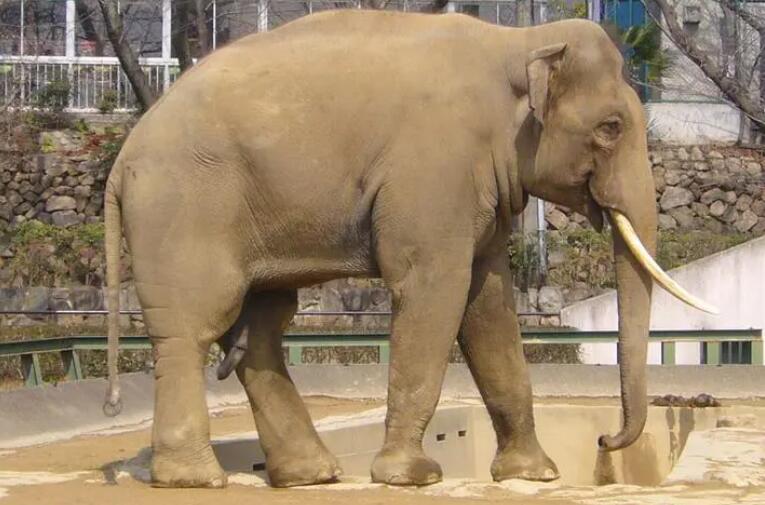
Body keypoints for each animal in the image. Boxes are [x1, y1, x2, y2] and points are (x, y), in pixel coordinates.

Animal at [102, 10, 715, 489]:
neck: (516, 41)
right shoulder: (434, 171)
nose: (606, 440)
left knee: (262, 329)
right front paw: (411, 477)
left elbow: (488, 304)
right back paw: (197, 478)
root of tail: (124, 155)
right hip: (184, 210)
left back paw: (311, 475)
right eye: (611, 128)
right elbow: (435, 290)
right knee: (194, 325)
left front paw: (534, 474)